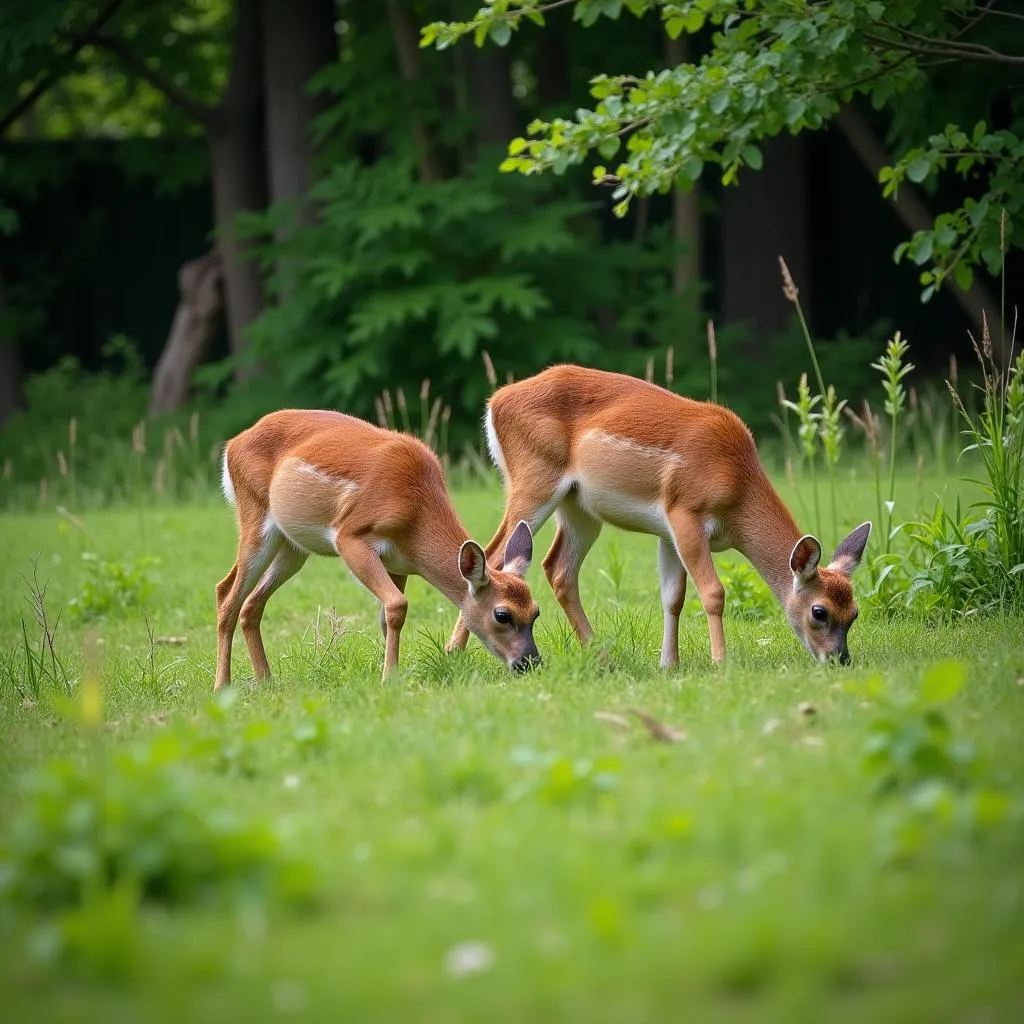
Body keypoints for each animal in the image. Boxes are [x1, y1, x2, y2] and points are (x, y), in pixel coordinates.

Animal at [216, 407, 544, 688]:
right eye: (502, 615)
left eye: (536, 611)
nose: (530, 663)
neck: (415, 510)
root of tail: (232, 445)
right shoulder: (351, 536)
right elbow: (397, 606)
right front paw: (389, 679)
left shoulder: (398, 563)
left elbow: (388, 618)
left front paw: (392, 672)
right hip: (256, 517)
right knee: (227, 594)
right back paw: (222, 686)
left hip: (292, 548)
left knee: (250, 603)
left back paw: (266, 682)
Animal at [444, 368, 868, 671]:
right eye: (819, 611)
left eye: (854, 612)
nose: (840, 659)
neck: (738, 485)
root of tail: (495, 402)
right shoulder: (685, 512)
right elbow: (712, 592)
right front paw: (720, 662)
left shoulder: (667, 531)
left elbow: (673, 597)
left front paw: (668, 664)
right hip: (534, 480)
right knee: (492, 554)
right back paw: (454, 651)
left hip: (579, 507)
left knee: (558, 568)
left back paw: (602, 656)